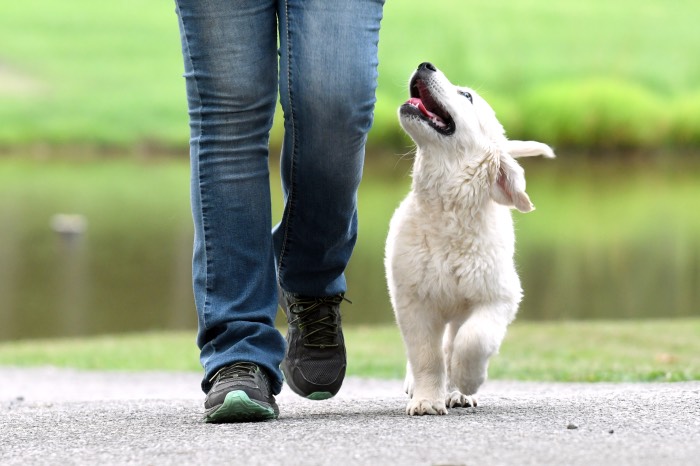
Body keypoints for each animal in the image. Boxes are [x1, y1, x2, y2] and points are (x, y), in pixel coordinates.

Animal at [382, 62, 552, 416]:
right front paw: (426, 399)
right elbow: (425, 355)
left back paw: (457, 390)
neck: (448, 210)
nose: (425, 64)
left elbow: (474, 339)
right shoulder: (412, 300)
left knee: (454, 339)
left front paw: (466, 379)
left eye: (467, 96)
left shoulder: (499, 295)